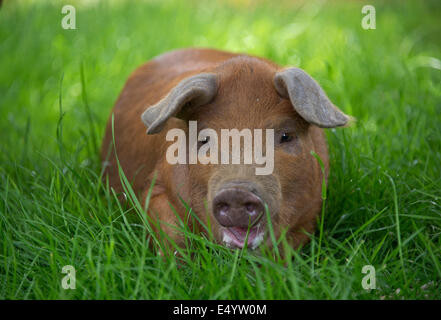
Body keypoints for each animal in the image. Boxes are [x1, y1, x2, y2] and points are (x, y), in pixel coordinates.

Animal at [100, 48, 350, 250]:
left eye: (286, 136)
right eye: (204, 140)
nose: (237, 192)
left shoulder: (313, 207)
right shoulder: (155, 187)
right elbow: (174, 234)